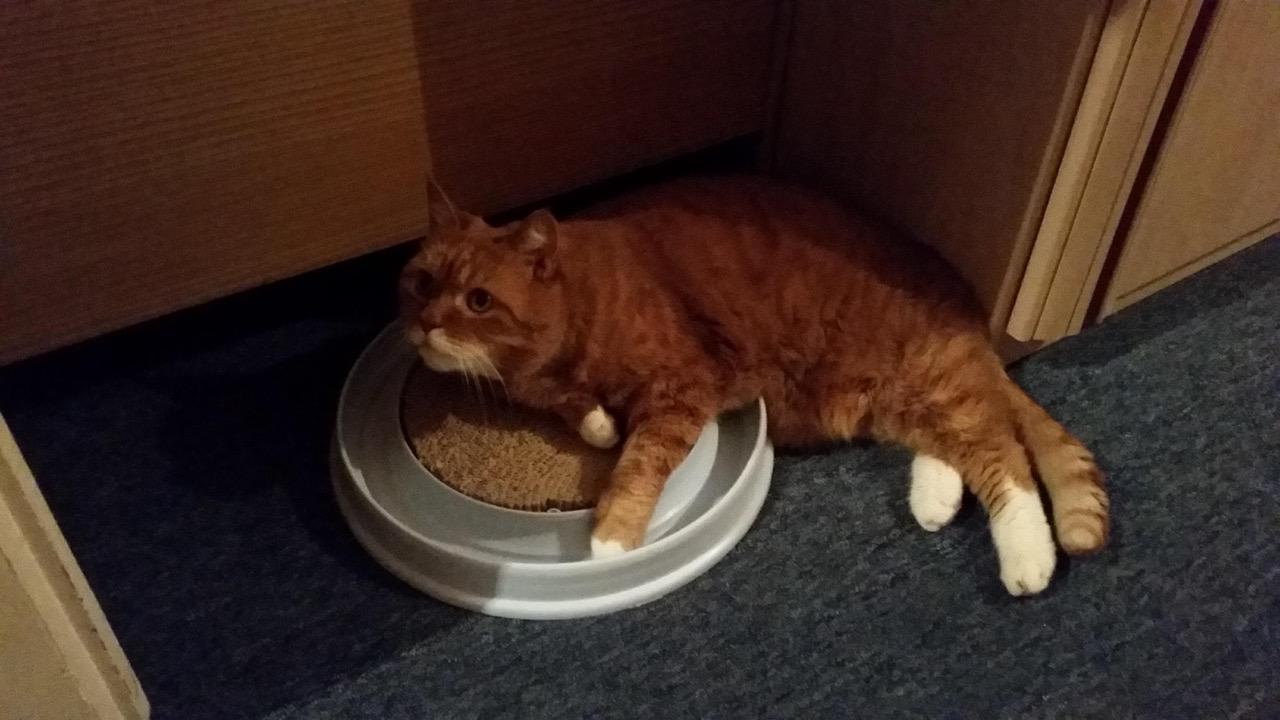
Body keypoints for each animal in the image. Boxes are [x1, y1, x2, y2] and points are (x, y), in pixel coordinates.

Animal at [398, 176, 1109, 596]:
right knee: (957, 445)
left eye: (479, 300)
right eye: (421, 281)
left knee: (1002, 454)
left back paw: (1028, 559)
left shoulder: (682, 389)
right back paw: (934, 501)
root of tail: (967, 306)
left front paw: (611, 540)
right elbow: (588, 418)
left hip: (926, 381)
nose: (424, 324)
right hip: (889, 399)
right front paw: (596, 421)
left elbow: (638, 464)